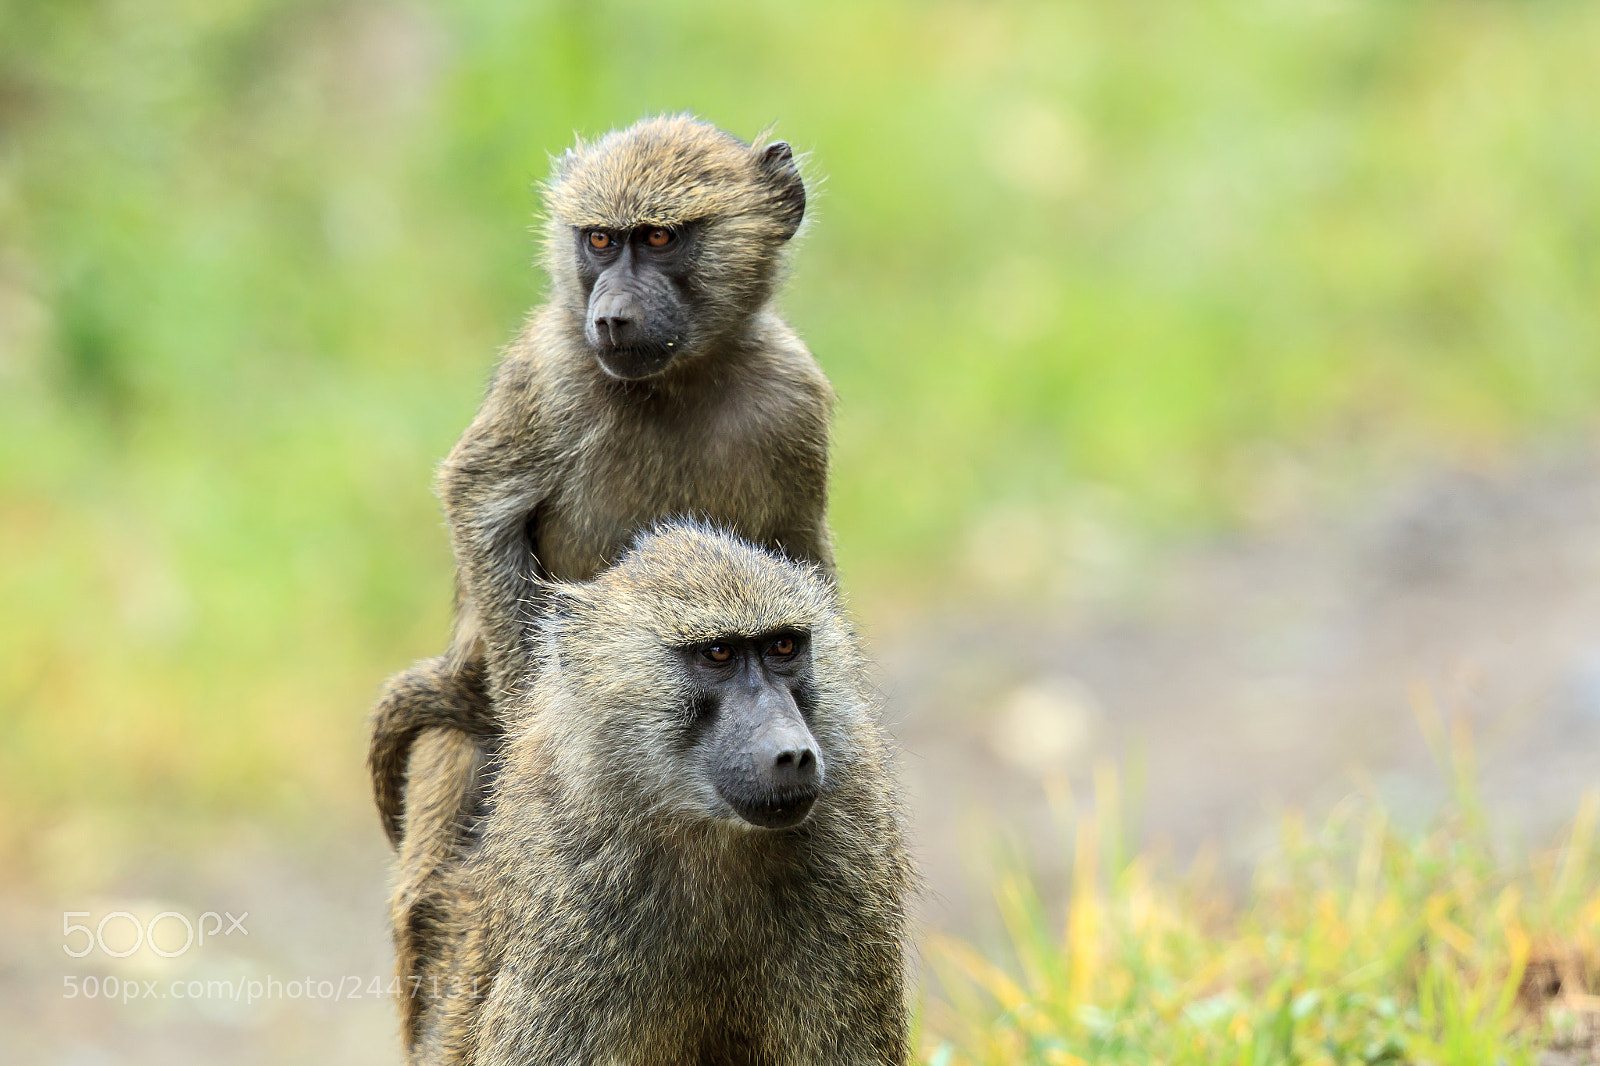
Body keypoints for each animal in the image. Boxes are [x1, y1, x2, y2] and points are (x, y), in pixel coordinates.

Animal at [367, 115, 837, 1044]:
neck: (681, 380)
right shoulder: (550, 371)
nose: (611, 317)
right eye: (597, 241)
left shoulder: (794, 400)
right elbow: (478, 502)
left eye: (657, 239)